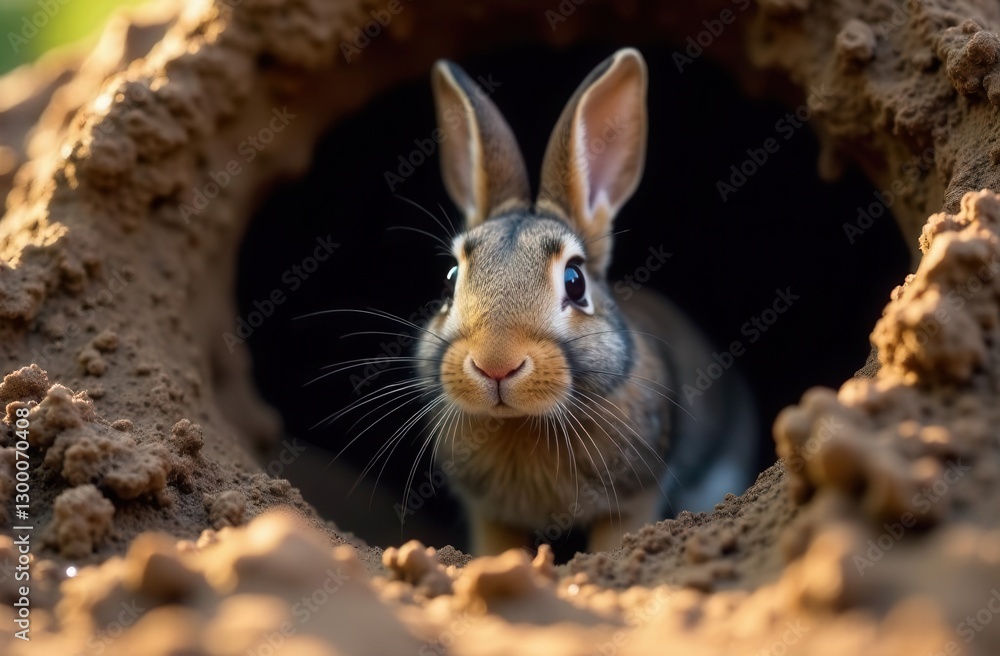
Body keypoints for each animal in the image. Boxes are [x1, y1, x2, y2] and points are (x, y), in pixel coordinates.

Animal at [410, 48, 758, 555]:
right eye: (450, 279)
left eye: (575, 282)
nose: (496, 365)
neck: (522, 423)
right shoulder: (489, 514)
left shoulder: (633, 499)